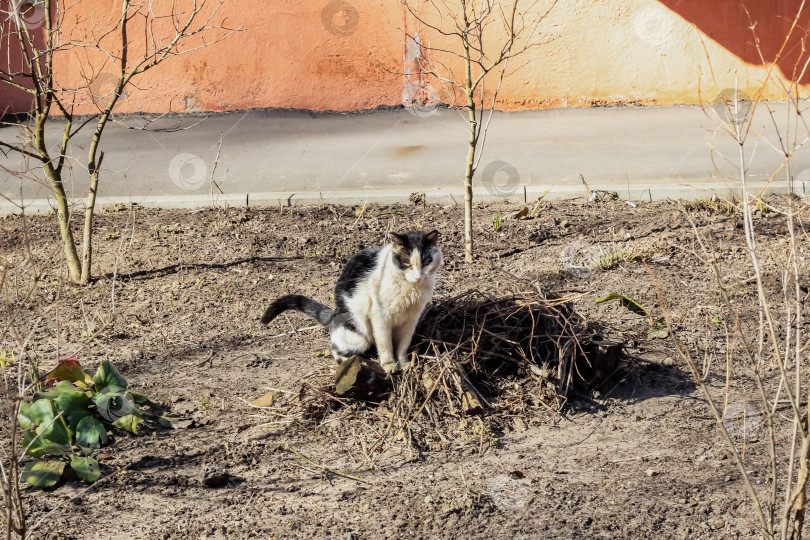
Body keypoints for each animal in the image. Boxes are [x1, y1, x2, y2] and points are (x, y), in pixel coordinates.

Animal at [260, 230, 442, 374]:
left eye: (426, 262)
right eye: (406, 263)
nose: (418, 277)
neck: (410, 289)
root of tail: (334, 314)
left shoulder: (411, 319)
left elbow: (403, 345)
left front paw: (403, 363)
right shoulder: (380, 316)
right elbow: (385, 345)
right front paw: (389, 365)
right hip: (359, 334)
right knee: (336, 349)